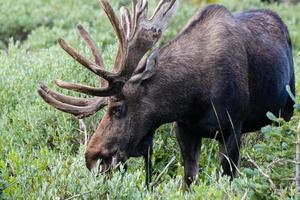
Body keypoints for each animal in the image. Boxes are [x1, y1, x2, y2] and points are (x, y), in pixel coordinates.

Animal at [37, 0, 292, 188]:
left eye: (117, 108)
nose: (91, 157)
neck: (192, 97)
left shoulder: (233, 127)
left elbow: (228, 177)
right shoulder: (185, 128)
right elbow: (189, 179)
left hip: (285, 114)